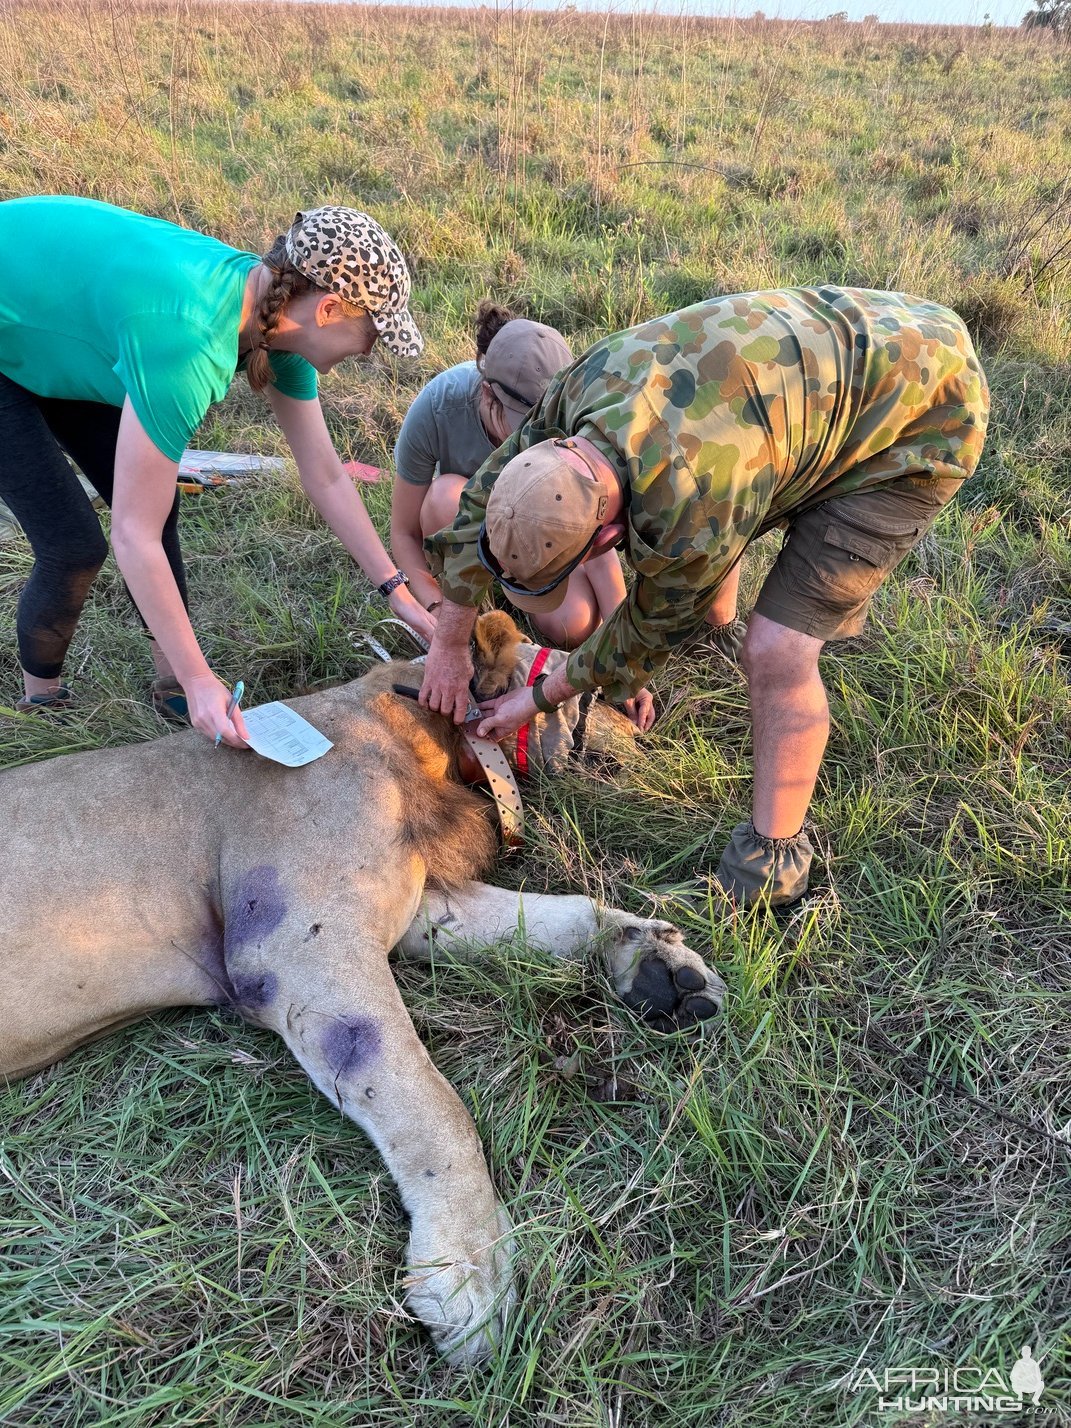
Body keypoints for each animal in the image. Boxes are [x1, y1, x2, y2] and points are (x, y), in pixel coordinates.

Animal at [0, 611, 731, 1359]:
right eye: (595, 693)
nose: (649, 721)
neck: (414, 733)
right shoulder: (297, 946)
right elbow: (432, 1105)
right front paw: (467, 1272)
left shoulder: (417, 910)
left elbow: (565, 913)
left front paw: (658, 968)